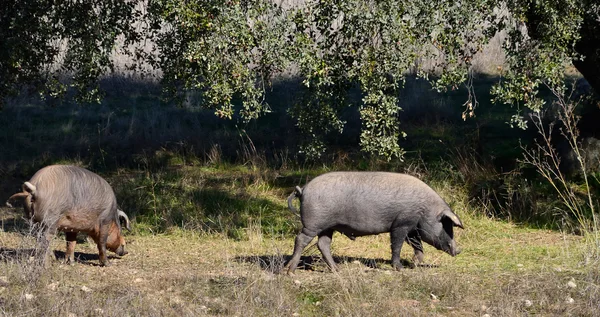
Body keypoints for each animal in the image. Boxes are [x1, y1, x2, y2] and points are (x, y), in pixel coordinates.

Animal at [286, 172, 464, 272]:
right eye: (446, 225)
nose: (458, 250)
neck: (425, 209)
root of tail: (302, 189)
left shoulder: (412, 228)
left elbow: (417, 245)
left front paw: (414, 264)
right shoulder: (401, 224)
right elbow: (397, 245)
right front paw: (400, 268)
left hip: (327, 227)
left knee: (323, 244)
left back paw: (337, 270)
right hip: (313, 224)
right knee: (301, 239)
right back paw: (289, 271)